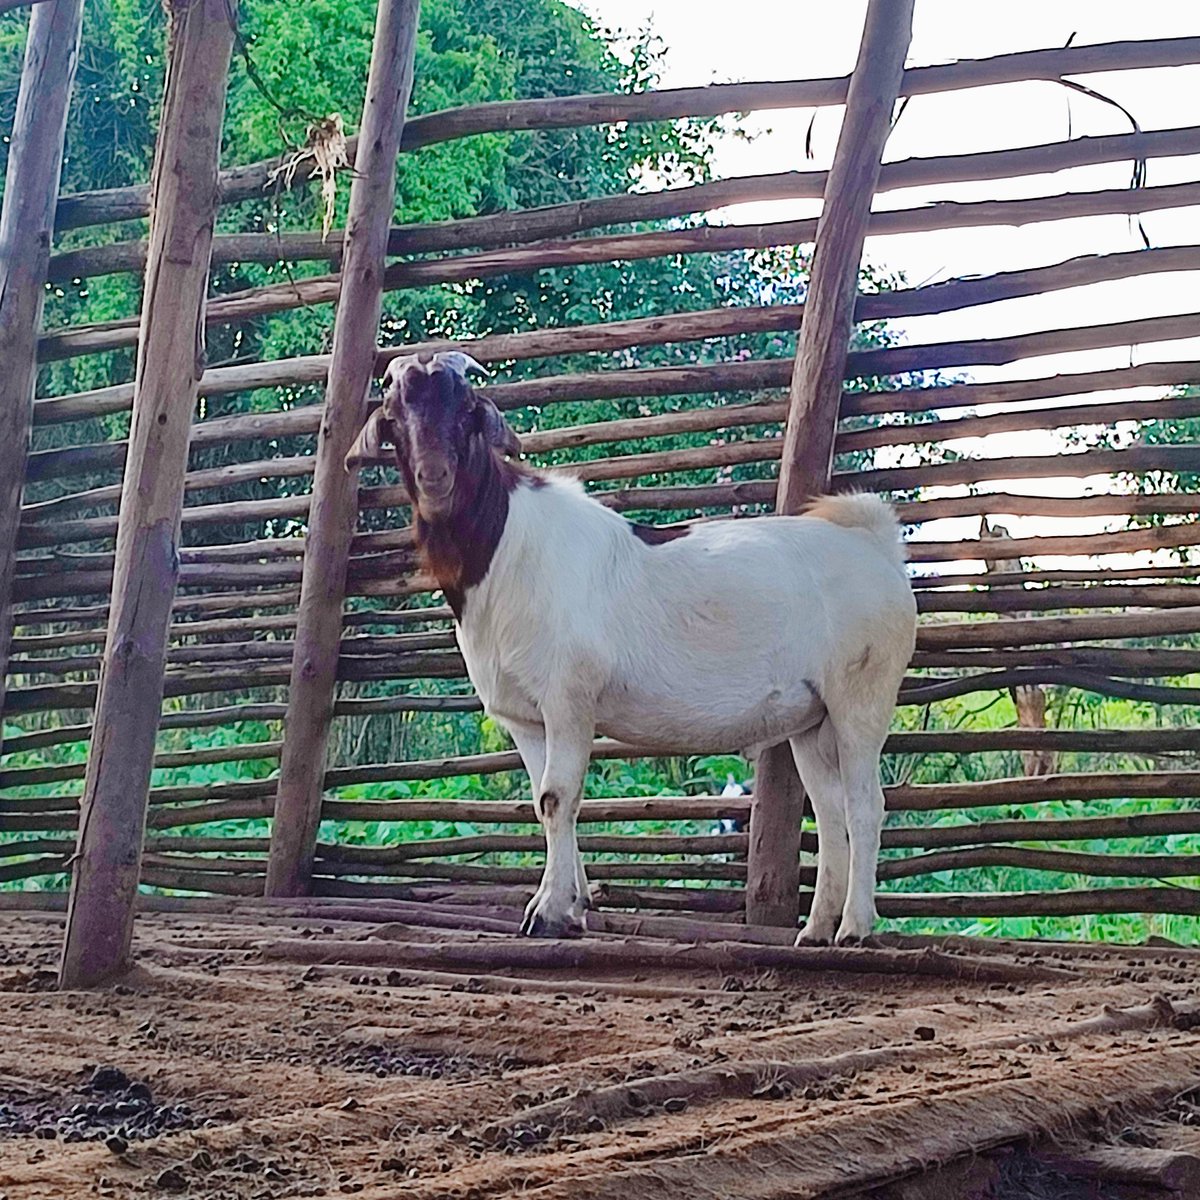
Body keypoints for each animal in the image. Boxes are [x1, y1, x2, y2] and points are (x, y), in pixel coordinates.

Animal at [347, 351, 917, 944]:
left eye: (467, 412)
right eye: (394, 417)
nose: (435, 477)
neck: (504, 549)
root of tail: (873, 543)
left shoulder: (568, 699)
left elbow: (558, 797)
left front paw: (549, 911)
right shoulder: (525, 717)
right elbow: (546, 802)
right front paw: (572, 906)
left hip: (862, 693)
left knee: (865, 807)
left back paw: (854, 928)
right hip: (811, 716)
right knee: (830, 812)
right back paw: (818, 927)